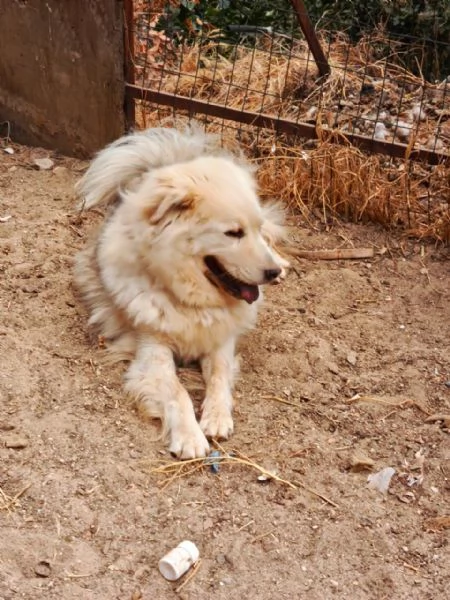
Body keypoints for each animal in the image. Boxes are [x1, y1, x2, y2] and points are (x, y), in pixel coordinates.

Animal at [73, 124, 284, 458]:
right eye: (233, 233)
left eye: (253, 230)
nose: (271, 273)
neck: (190, 301)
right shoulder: (152, 348)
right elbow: (178, 391)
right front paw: (189, 436)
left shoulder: (220, 341)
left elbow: (219, 377)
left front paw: (217, 417)